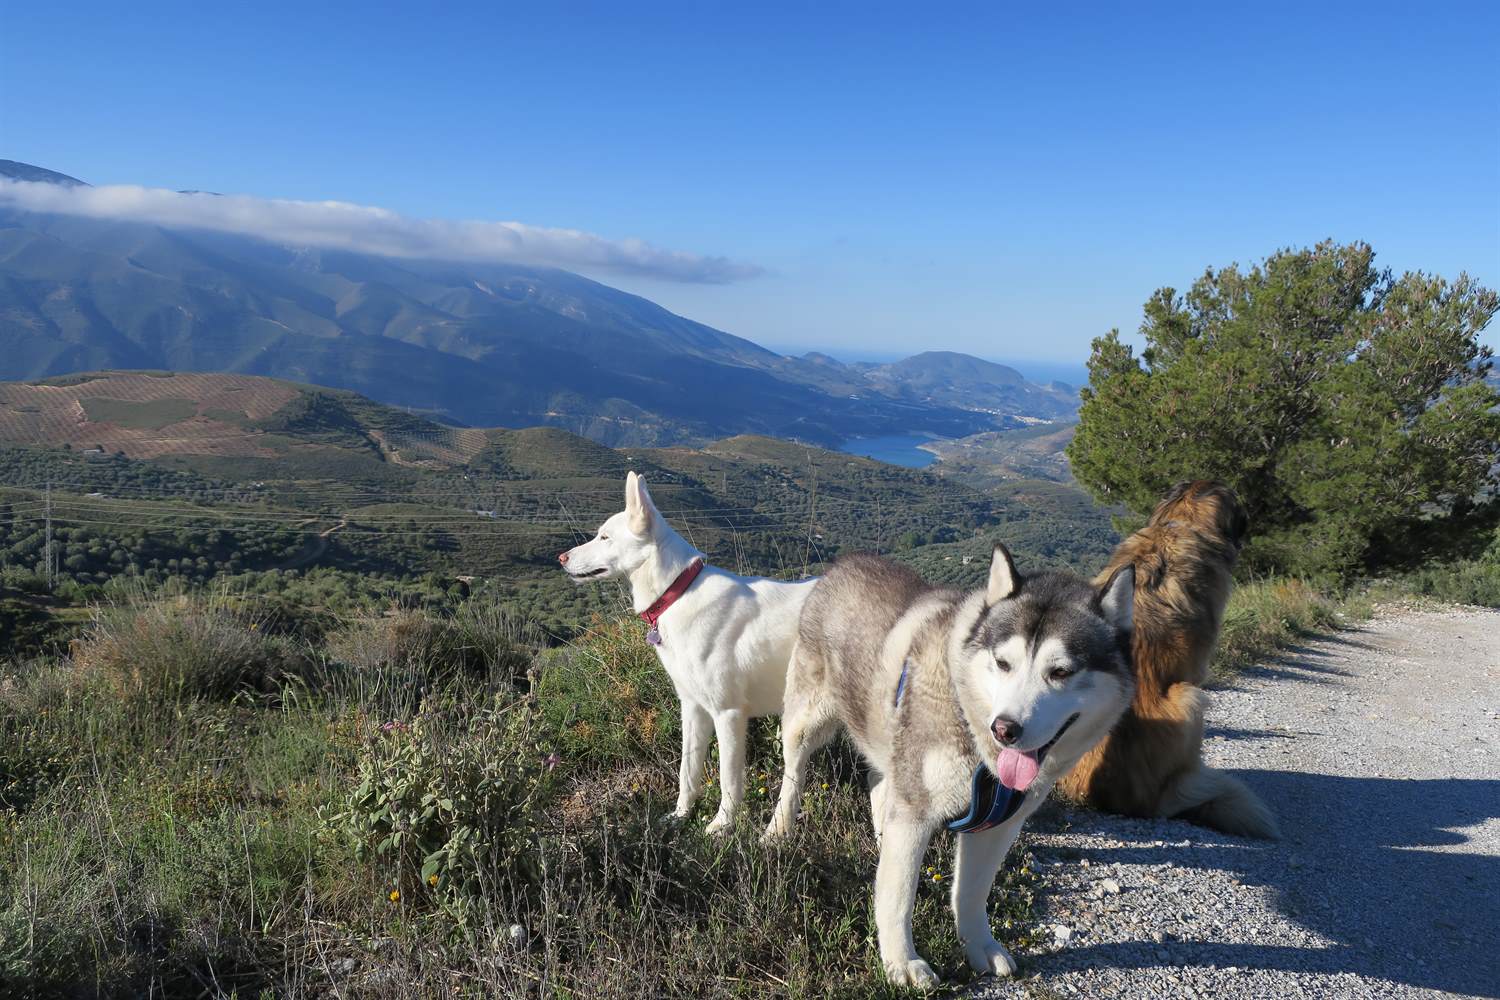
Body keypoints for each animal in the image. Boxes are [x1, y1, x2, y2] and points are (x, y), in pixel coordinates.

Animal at [561, 473, 816, 833]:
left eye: (604, 536)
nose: (561, 558)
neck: (678, 593)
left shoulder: (728, 714)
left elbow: (727, 780)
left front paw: (721, 826)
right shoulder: (693, 708)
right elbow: (688, 772)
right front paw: (681, 815)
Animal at [768, 548, 1128, 983]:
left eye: (1060, 672)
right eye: (1003, 663)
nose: (1005, 729)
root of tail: (846, 563)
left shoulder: (998, 824)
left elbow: (972, 893)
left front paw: (980, 947)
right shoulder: (916, 811)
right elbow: (898, 896)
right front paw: (902, 962)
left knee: (879, 782)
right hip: (808, 721)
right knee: (794, 773)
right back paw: (778, 830)